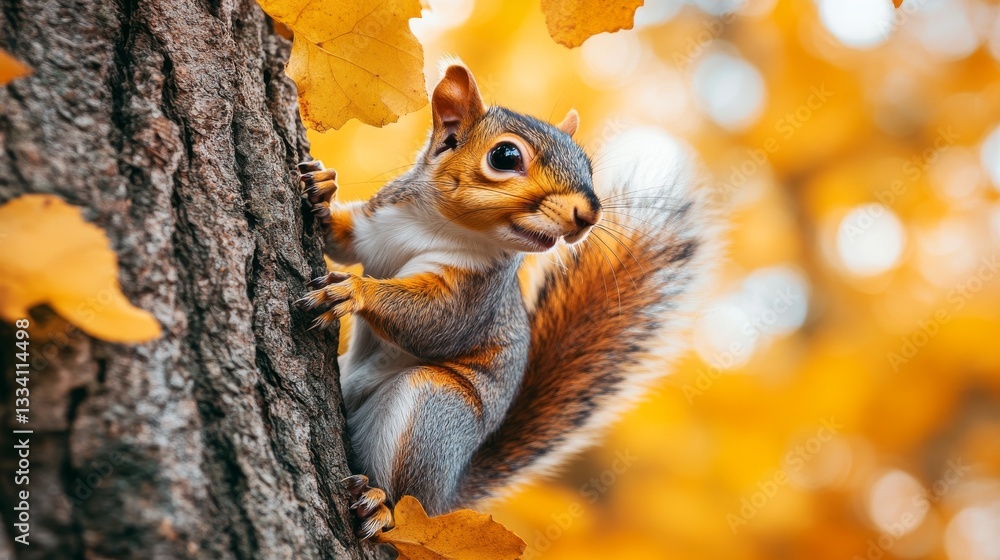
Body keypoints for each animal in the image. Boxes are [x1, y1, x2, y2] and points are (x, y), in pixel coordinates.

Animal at [295, 61, 713, 540]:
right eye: (505, 157)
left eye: (587, 164)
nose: (588, 214)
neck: (432, 225)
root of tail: (447, 498)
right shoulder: (376, 227)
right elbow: (344, 242)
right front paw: (320, 189)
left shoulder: (477, 293)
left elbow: (435, 323)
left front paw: (354, 291)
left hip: (435, 411)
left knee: (405, 493)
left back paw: (380, 506)